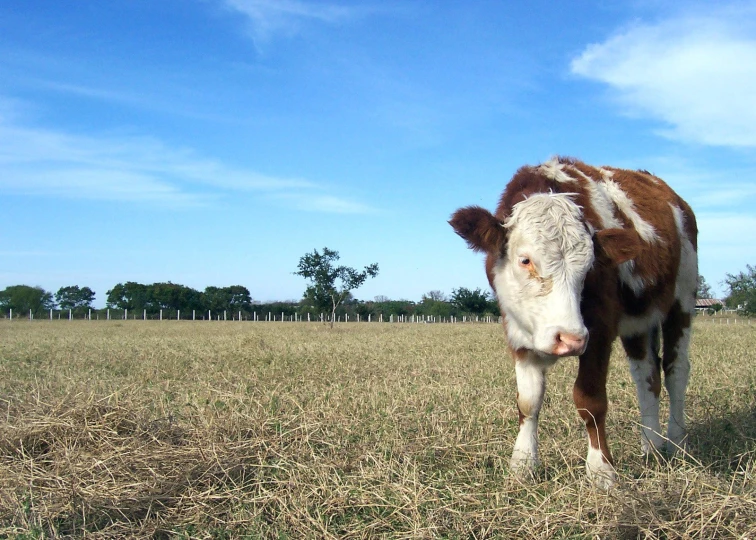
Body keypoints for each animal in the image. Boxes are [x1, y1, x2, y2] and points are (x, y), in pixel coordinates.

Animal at [448, 157, 696, 490]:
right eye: (525, 260)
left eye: (589, 266)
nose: (569, 339)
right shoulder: (517, 333)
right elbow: (528, 402)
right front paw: (522, 464)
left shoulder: (599, 332)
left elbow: (590, 400)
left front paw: (601, 470)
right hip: (640, 322)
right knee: (647, 376)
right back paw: (652, 447)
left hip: (683, 300)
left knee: (675, 371)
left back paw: (678, 442)